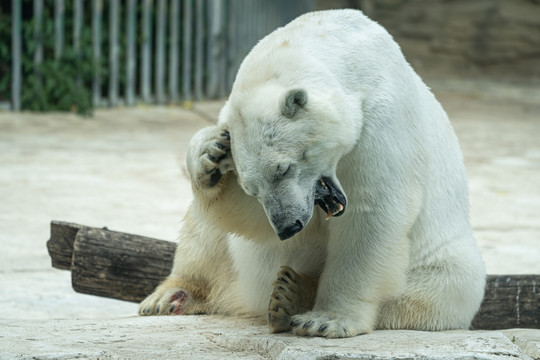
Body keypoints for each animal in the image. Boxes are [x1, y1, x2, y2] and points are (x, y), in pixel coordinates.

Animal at [139, 9, 486, 338]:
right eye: (252, 187)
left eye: (284, 168)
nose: (288, 226)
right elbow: (245, 216)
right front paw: (210, 152)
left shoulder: (384, 119)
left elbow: (372, 212)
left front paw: (326, 321)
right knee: (207, 231)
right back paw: (171, 295)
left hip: (442, 262)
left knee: (439, 287)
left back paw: (292, 294)